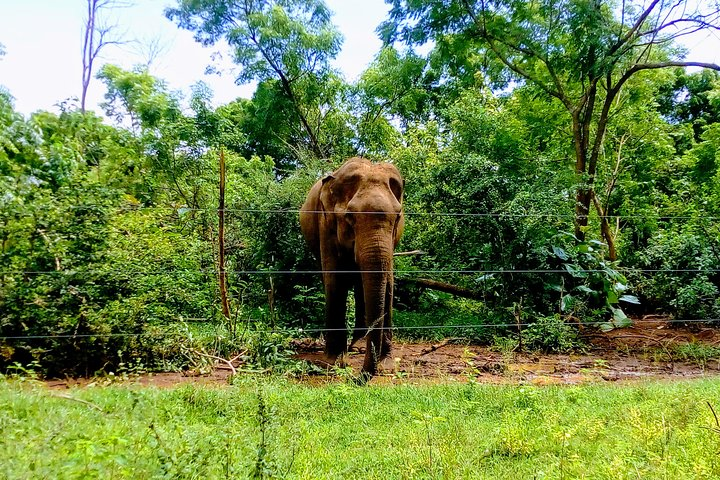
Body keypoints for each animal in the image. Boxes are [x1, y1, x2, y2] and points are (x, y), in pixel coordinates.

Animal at [298, 156, 404, 376]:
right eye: (350, 217)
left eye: (398, 217)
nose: (358, 377)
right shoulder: (325, 223)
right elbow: (335, 279)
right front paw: (334, 363)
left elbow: (389, 284)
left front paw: (387, 366)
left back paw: (359, 346)